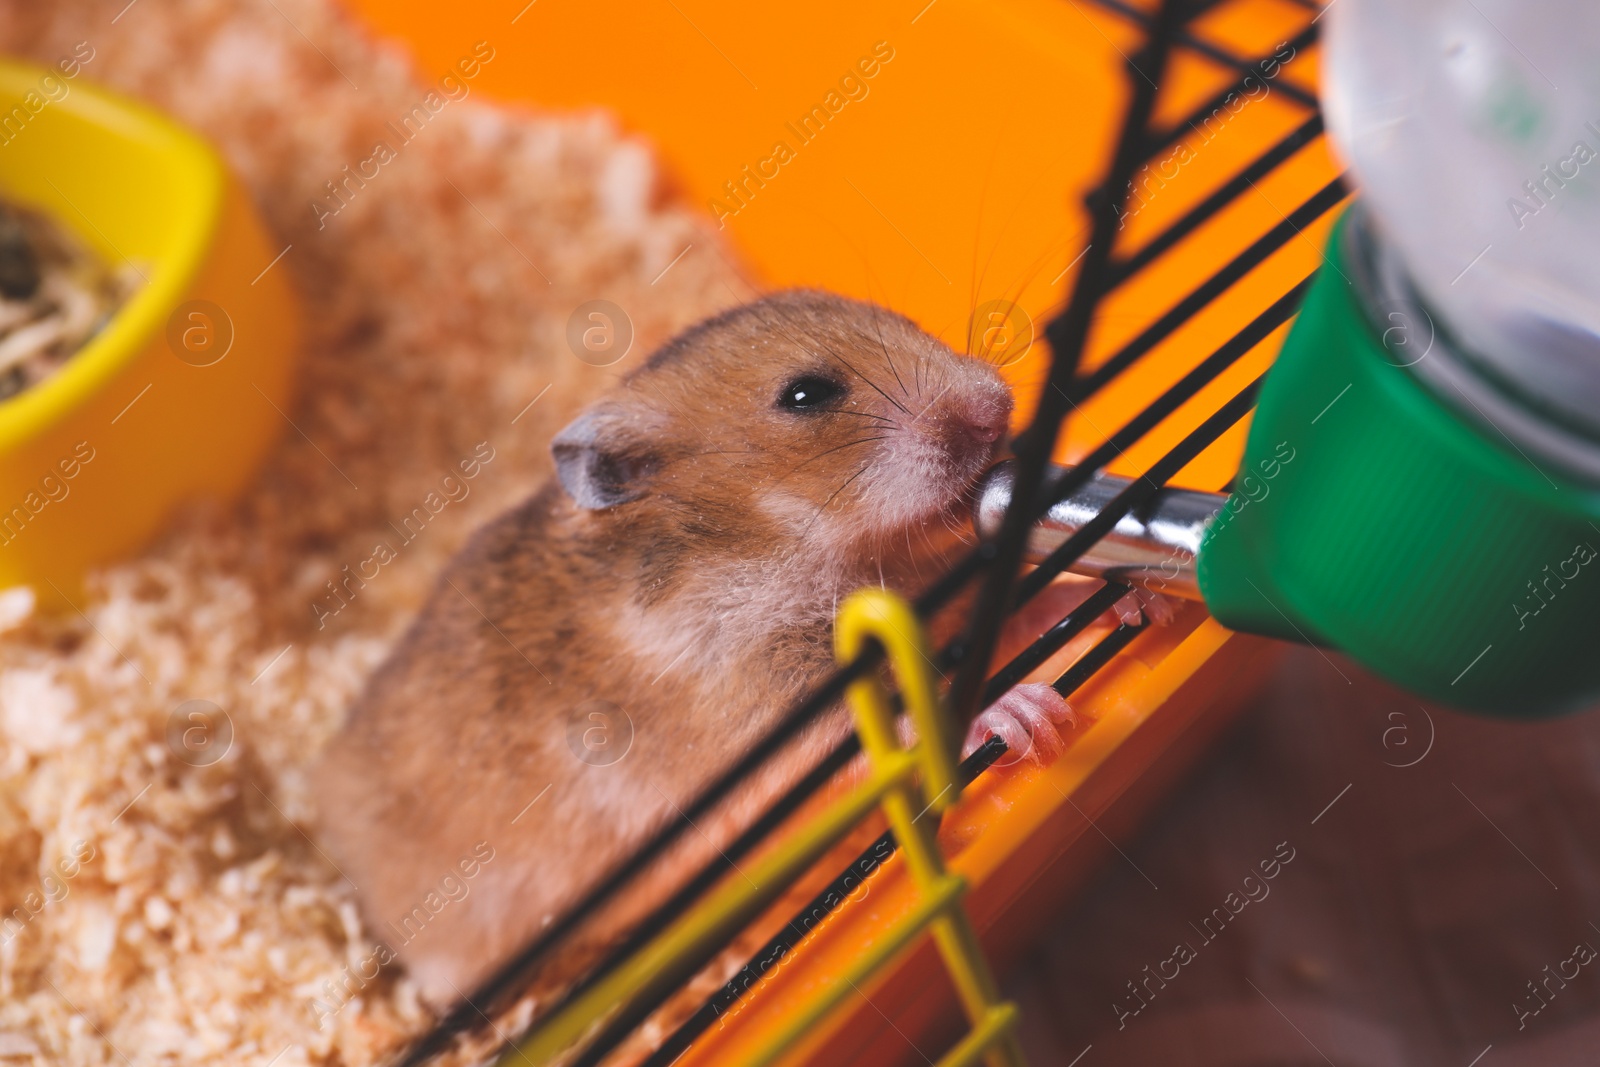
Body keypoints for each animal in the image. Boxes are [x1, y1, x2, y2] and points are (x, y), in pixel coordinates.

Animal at [312, 287, 1081, 1004]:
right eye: (806, 395)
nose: (997, 402)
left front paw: (1074, 626)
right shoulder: (775, 706)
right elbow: (903, 717)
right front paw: (1028, 717)